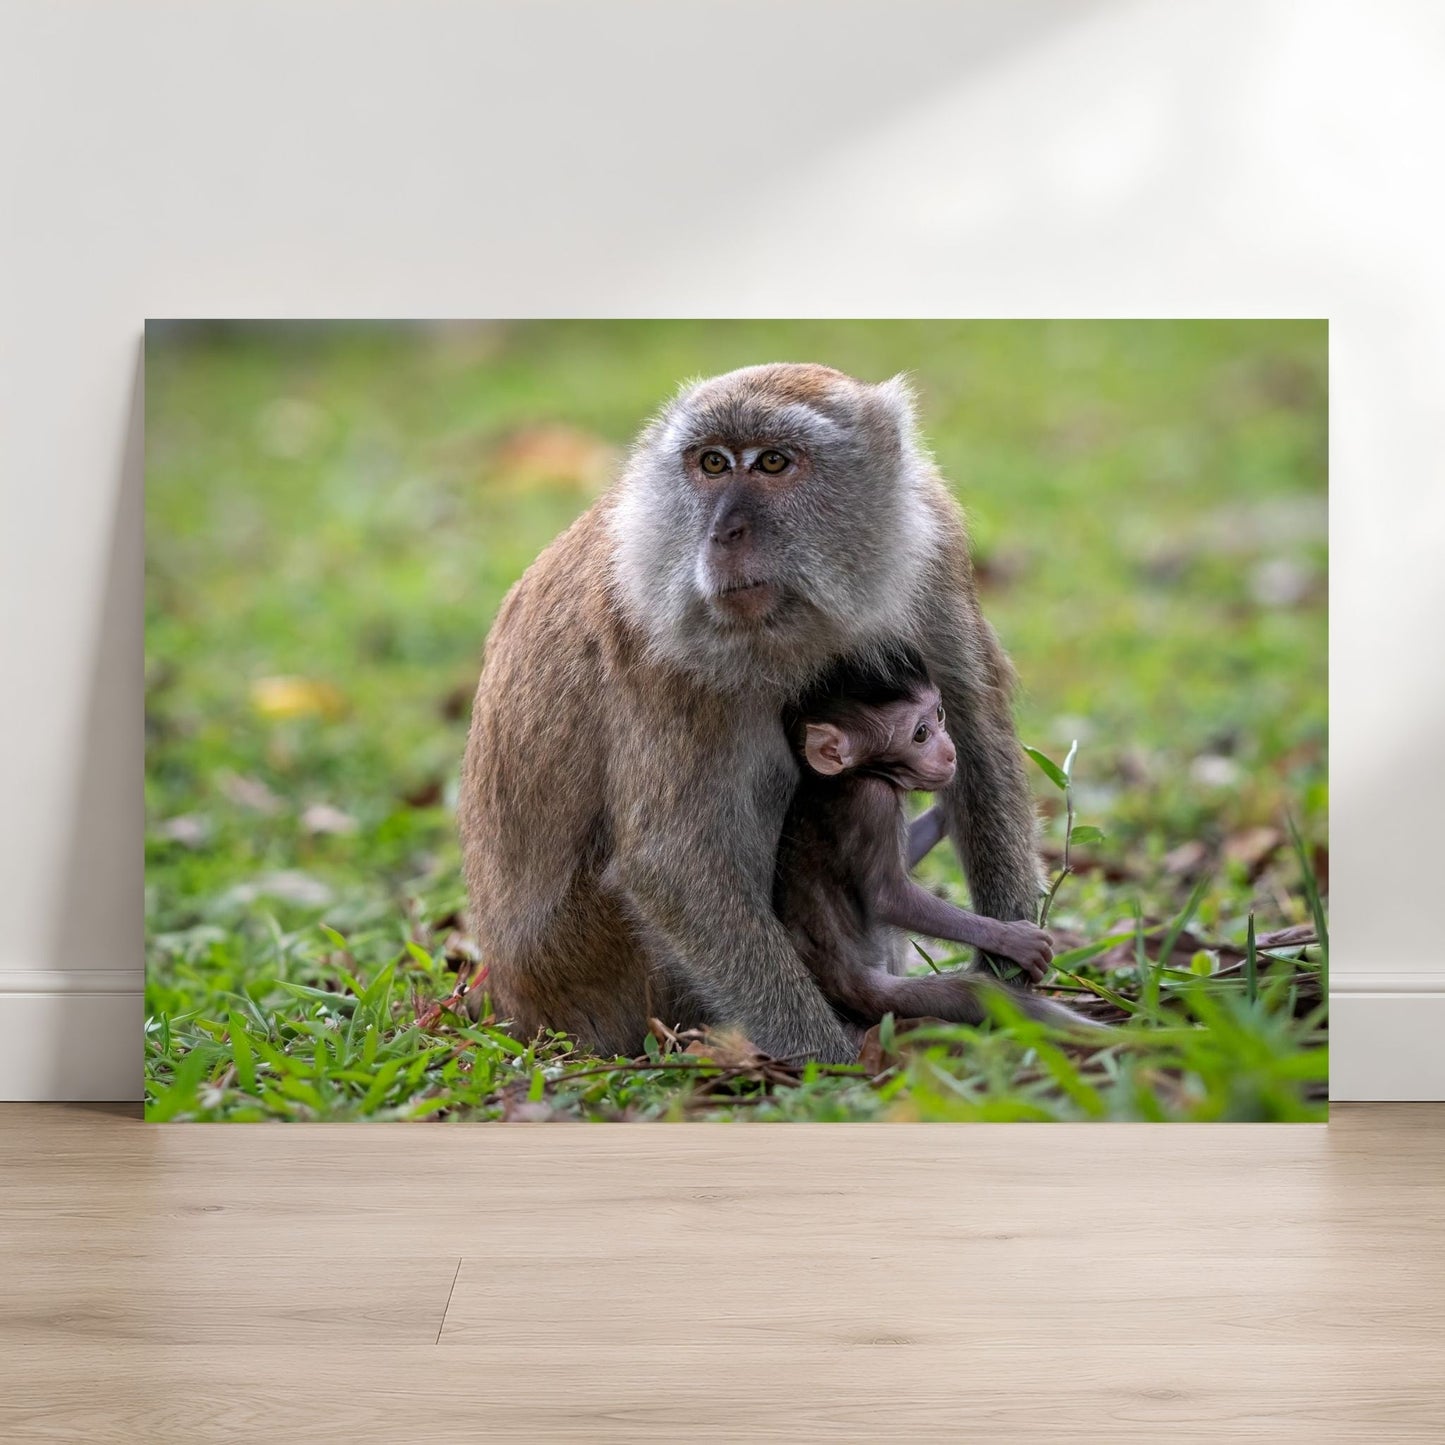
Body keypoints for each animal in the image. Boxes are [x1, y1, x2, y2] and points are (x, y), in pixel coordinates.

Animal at [460, 363, 1046, 1064]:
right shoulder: (658, 639)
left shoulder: (933, 549)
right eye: (712, 463)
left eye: (772, 462)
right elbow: (674, 866)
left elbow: (979, 745)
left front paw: (1009, 968)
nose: (722, 534)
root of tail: (509, 1003)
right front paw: (831, 1060)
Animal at [774, 644, 1094, 1035]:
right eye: (920, 734)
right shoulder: (873, 802)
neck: (853, 775)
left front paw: (949, 808)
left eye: (939, 714)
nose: (950, 753)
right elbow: (888, 897)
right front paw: (1008, 938)